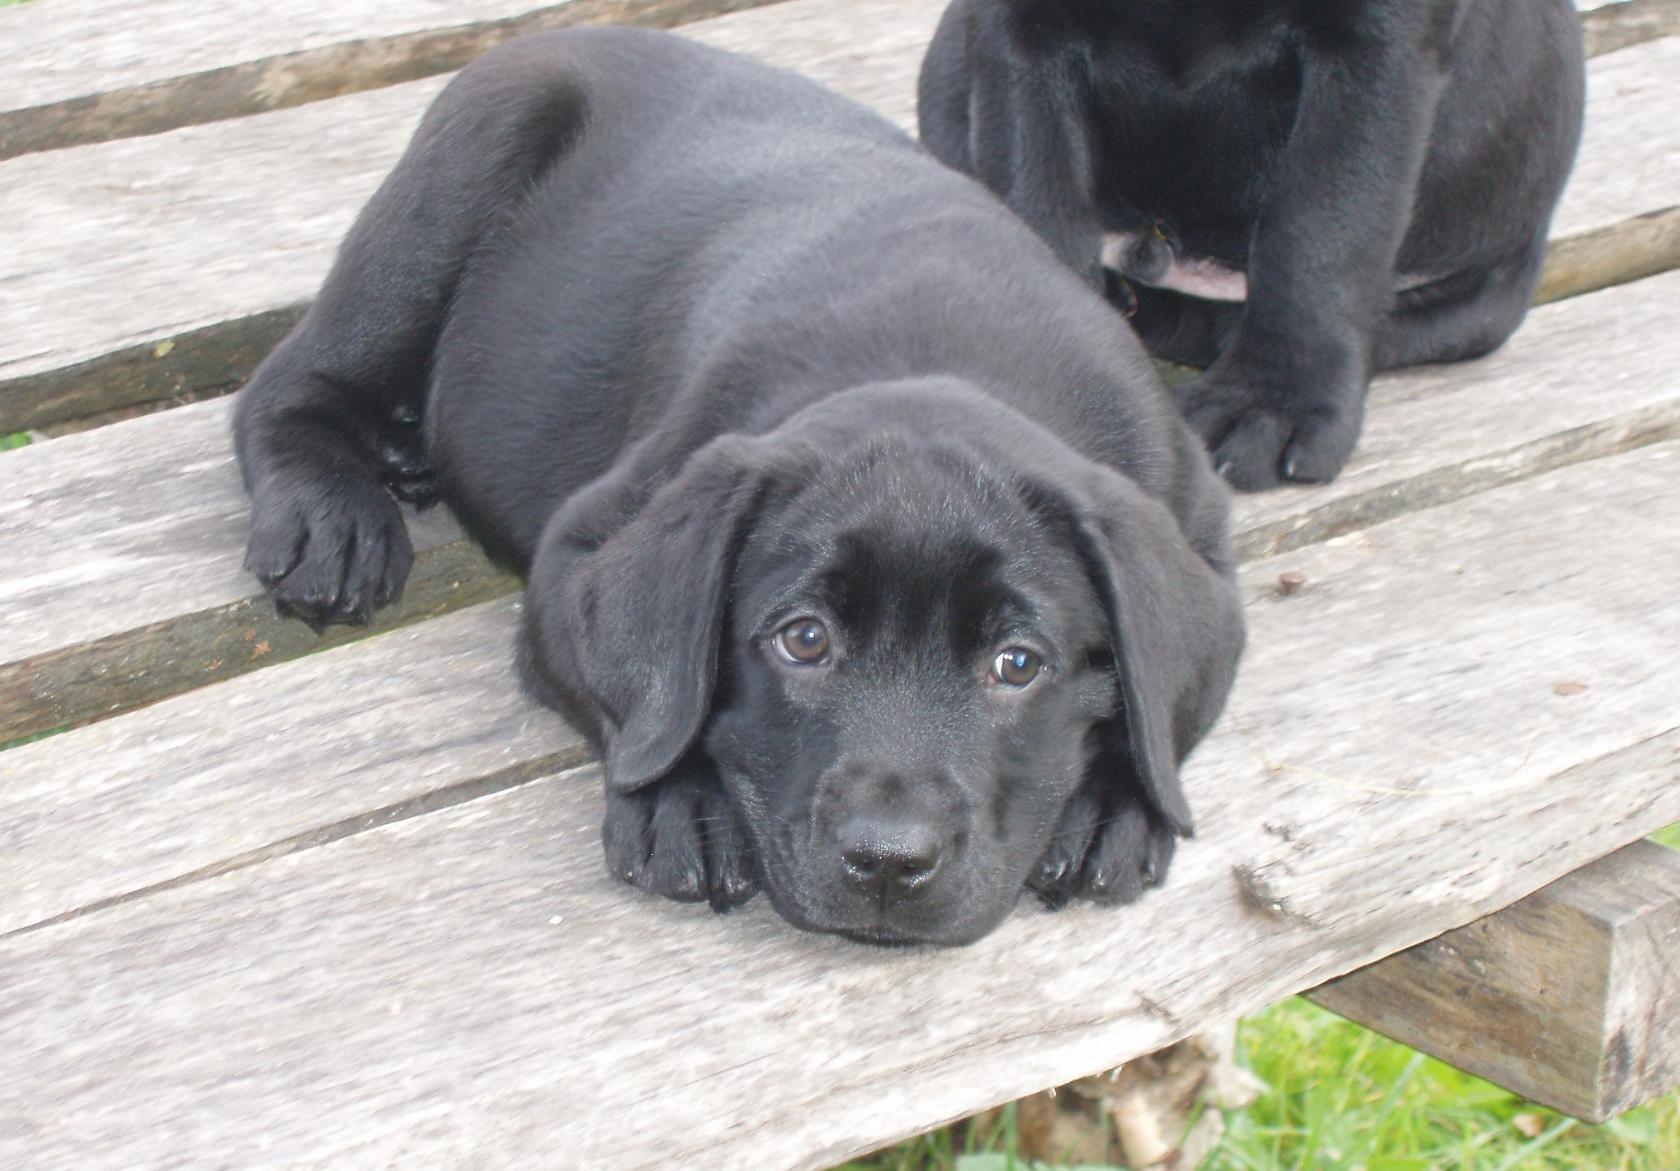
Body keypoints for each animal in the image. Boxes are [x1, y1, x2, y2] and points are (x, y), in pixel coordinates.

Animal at [233, 28, 1245, 946]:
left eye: (1019, 664)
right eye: (803, 640)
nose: (889, 859)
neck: (941, 351)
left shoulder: (1195, 522)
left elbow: (1164, 702)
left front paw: (1120, 798)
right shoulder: (587, 538)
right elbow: (656, 696)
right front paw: (681, 798)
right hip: (454, 181)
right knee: (283, 385)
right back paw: (334, 519)